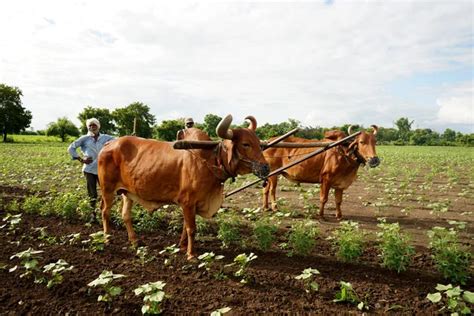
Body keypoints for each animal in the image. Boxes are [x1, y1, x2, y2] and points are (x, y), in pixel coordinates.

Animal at [97, 115, 268, 258]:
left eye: (259, 144)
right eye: (246, 144)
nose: (266, 167)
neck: (210, 160)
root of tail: (109, 144)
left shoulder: (192, 204)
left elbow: (186, 226)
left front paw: (182, 246)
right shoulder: (187, 202)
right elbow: (191, 229)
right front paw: (191, 255)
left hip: (127, 193)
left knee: (125, 215)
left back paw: (135, 241)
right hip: (107, 190)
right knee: (105, 212)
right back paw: (107, 239)